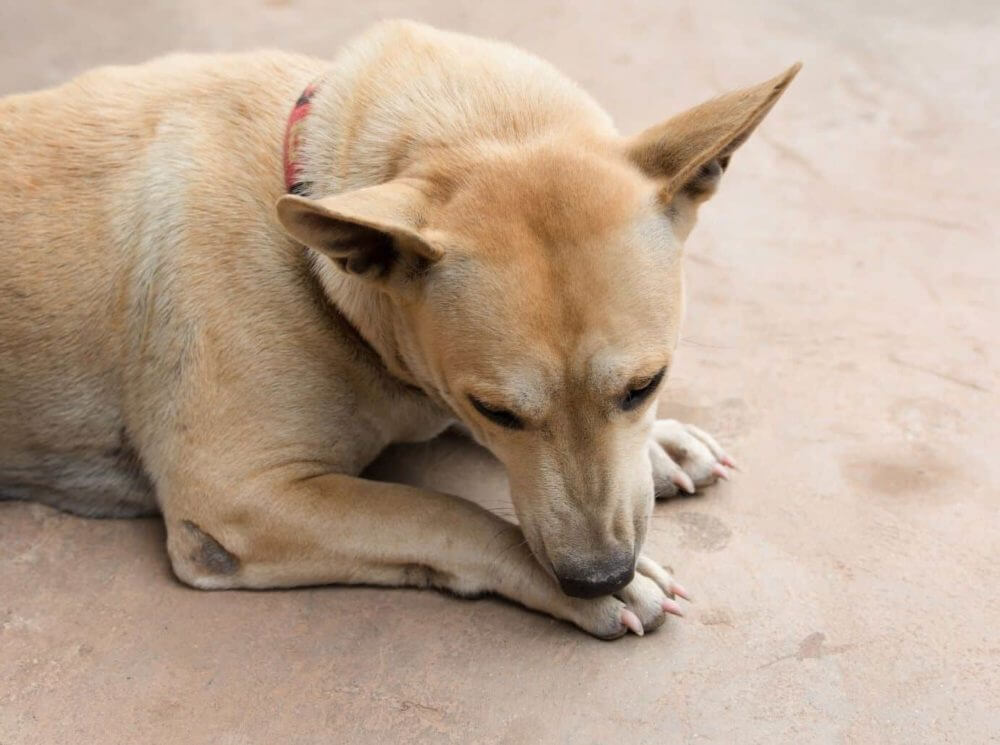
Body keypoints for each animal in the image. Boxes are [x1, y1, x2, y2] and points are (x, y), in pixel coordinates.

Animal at [0, 21, 796, 640]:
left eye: (646, 384)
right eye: (496, 409)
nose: (597, 576)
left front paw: (661, 445)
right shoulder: (235, 498)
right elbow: (441, 511)